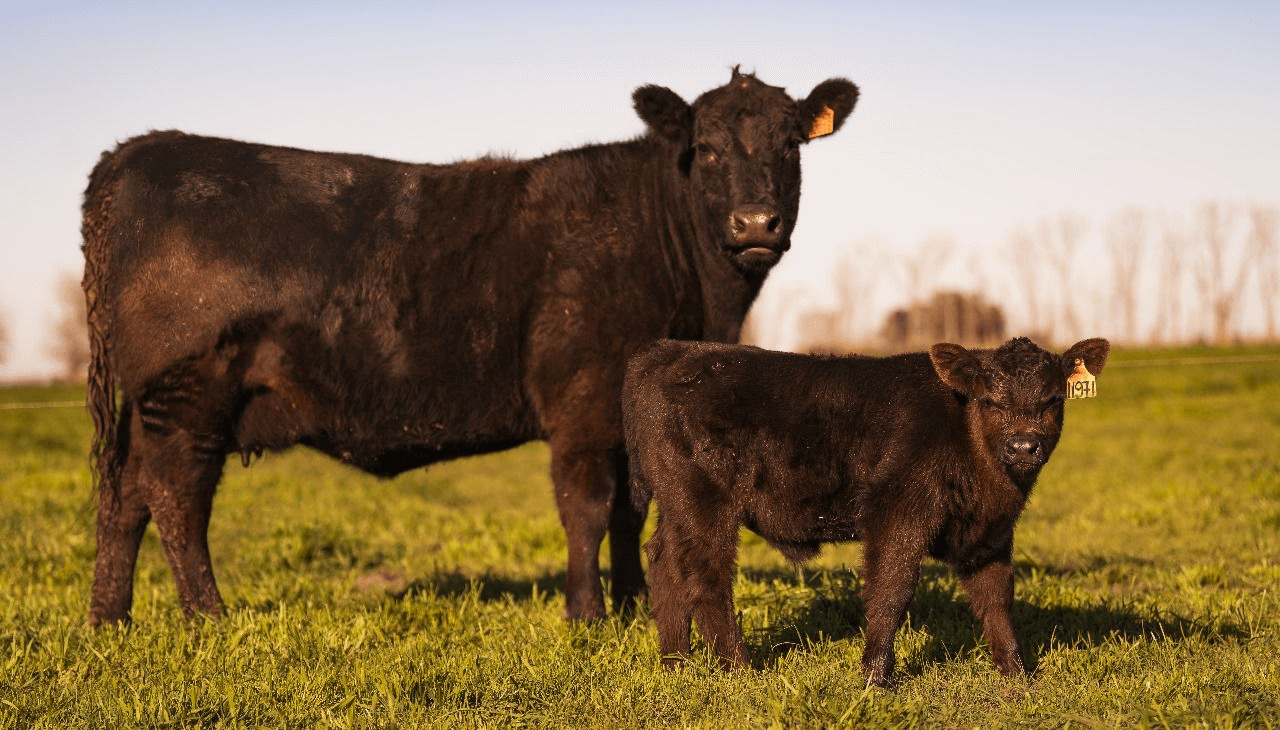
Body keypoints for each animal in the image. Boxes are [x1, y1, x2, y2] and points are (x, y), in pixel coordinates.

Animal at [80, 68, 860, 627]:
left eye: (791, 145)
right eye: (708, 149)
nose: (754, 222)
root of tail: (138, 150)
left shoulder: (626, 414)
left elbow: (631, 509)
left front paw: (635, 606)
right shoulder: (581, 402)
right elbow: (588, 505)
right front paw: (587, 616)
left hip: (153, 405)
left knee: (124, 497)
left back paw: (109, 621)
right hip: (187, 392)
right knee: (174, 496)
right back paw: (208, 617)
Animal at [622, 336, 1109, 688]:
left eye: (1052, 399)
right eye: (990, 400)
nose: (1024, 446)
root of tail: (670, 350)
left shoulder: (990, 531)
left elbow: (996, 596)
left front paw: (1017, 672)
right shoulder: (899, 514)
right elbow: (891, 590)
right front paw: (876, 677)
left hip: (676, 505)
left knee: (664, 561)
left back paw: (676, 663)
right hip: (704, 501)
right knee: (705, 576)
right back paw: (739, 668)